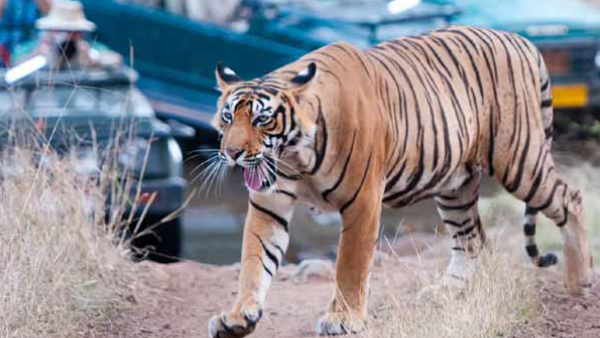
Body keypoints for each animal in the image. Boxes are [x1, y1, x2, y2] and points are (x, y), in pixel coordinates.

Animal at [205, 25, 592, 336]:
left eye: (262, 119)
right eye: (228, 117)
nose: (232, 153)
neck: (295, 156)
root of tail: (520, 39)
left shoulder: (362, 201)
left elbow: (349, 264)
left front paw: (343, 319)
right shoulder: (269, 204)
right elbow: (254, 259)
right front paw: (238, 317)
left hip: (519, 160)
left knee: (571, 198)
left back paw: (579, 281)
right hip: (455, 185)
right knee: (471, 238)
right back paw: (447, 292)